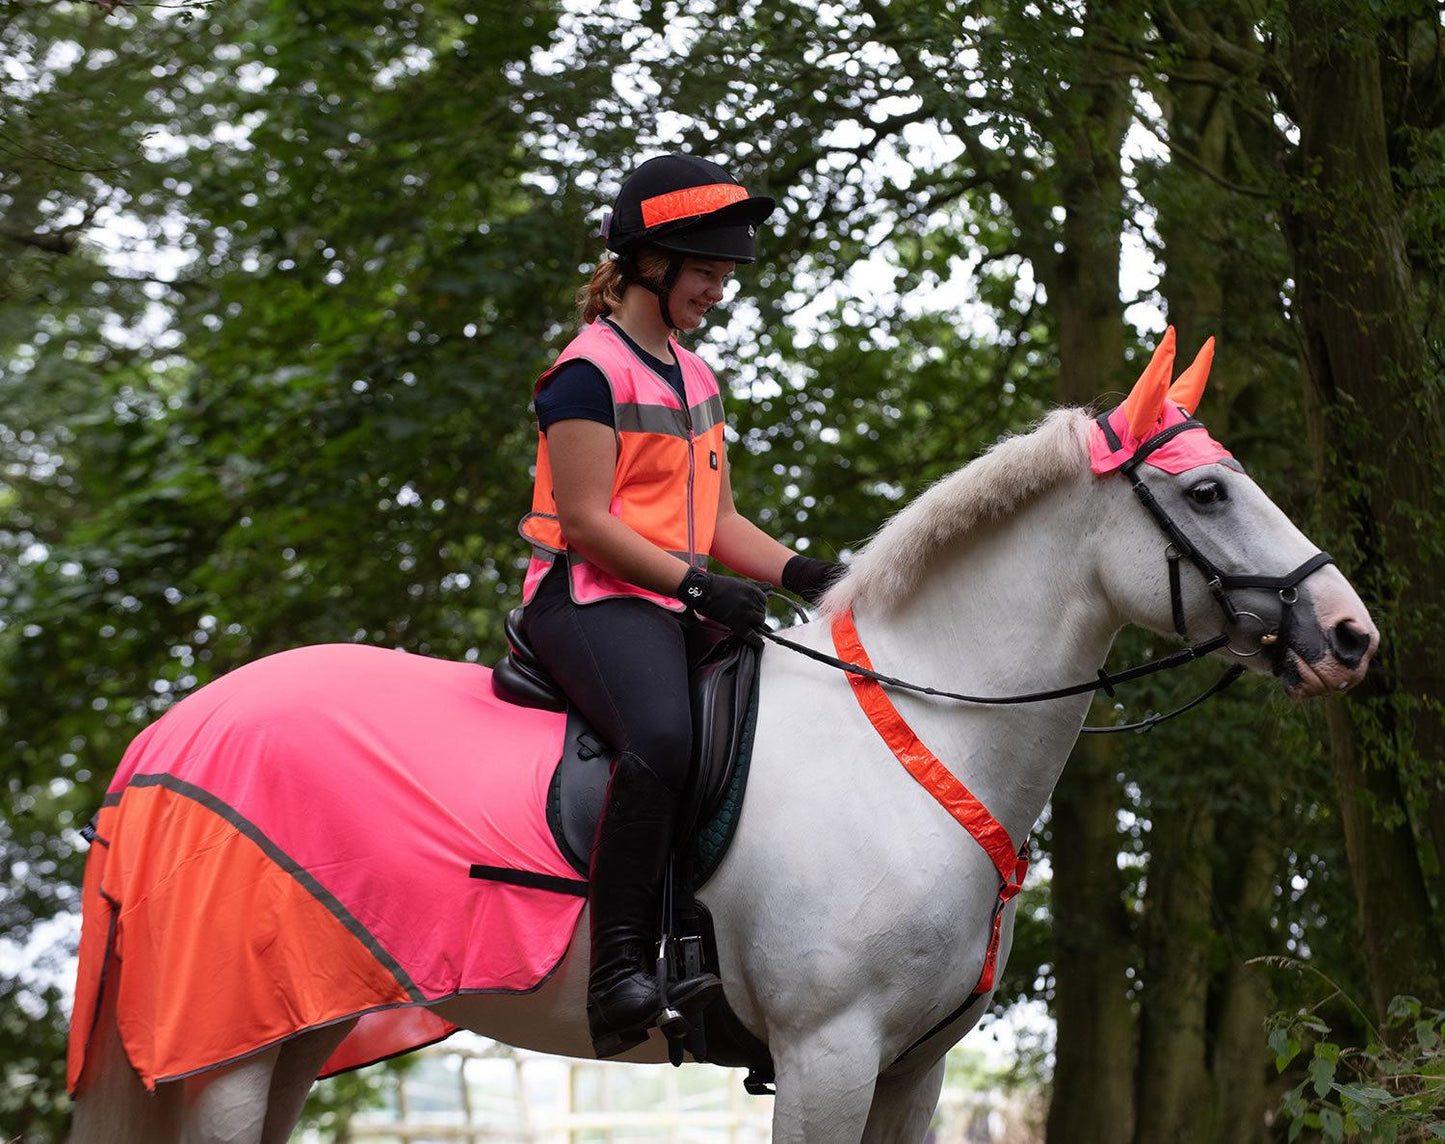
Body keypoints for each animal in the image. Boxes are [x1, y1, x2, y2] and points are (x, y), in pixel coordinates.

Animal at [65, 339, 1375, 1144]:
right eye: (1206, 494)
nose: (1349, 635)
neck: (916, 739)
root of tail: (167, 735)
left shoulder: (910, 1071)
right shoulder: (825, 1053)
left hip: (298, 1023)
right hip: (225, 1043)